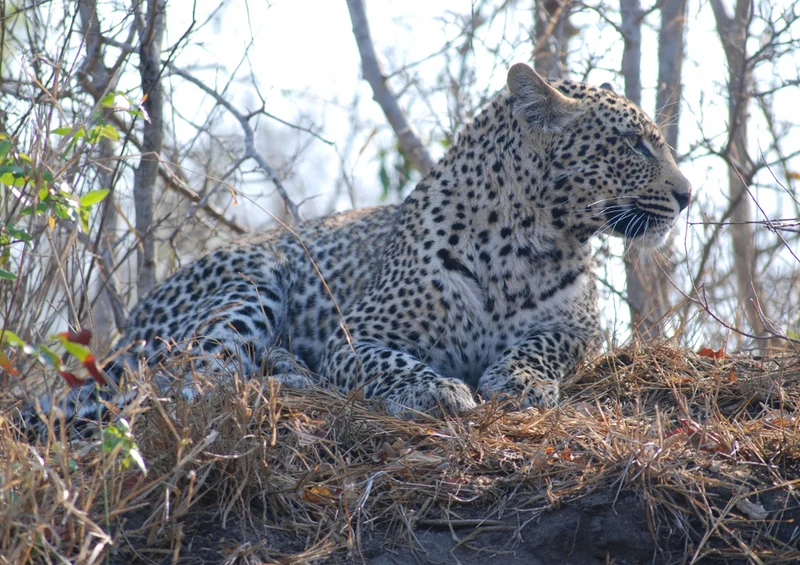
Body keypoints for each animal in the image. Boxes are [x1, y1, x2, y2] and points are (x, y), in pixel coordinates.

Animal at [23, 63, 691, 436]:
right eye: (636, 144)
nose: (687, 195)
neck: (532, 244)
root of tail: (127, 328)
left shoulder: (579, 327)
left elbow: (543, 345)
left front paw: (519, 379)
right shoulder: (357, 335)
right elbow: (385, 361)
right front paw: (434, 389)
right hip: (251, 278)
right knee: (185, 379)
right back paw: (290, 373)